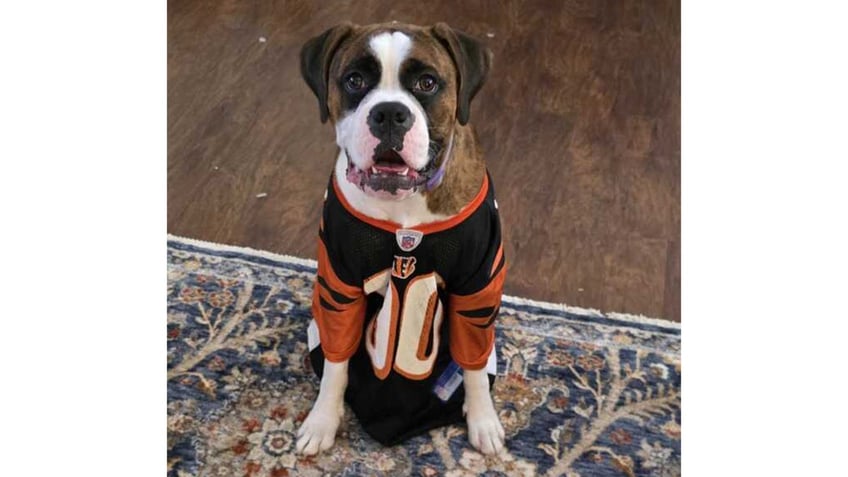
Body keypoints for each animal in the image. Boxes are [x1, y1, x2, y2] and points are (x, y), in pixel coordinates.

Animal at [296, 21, 504, 454]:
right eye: (354, 80)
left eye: (427, 83)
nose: (390, 113)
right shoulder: (339, 288)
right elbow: (336, 362)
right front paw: (323, 420)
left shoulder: (477, 292)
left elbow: (474, 364)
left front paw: (483, 419)